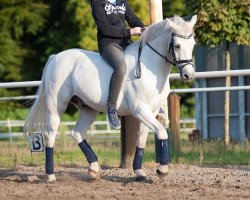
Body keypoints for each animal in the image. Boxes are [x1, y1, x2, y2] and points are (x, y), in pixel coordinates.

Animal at [24, 15, 197, 181]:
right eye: (177, 45)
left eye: (193, 44)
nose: (188, 75)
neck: (149, 67)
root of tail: (55, 57)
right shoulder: (140, 109)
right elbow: (161, 132)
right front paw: (162, 169)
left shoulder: (151, 111)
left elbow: (141, 139)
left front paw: (139, 172)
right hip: (56, 106)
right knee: (50, 135)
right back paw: (51, 176)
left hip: (88, 109)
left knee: (77, 133)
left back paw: (94, 170)